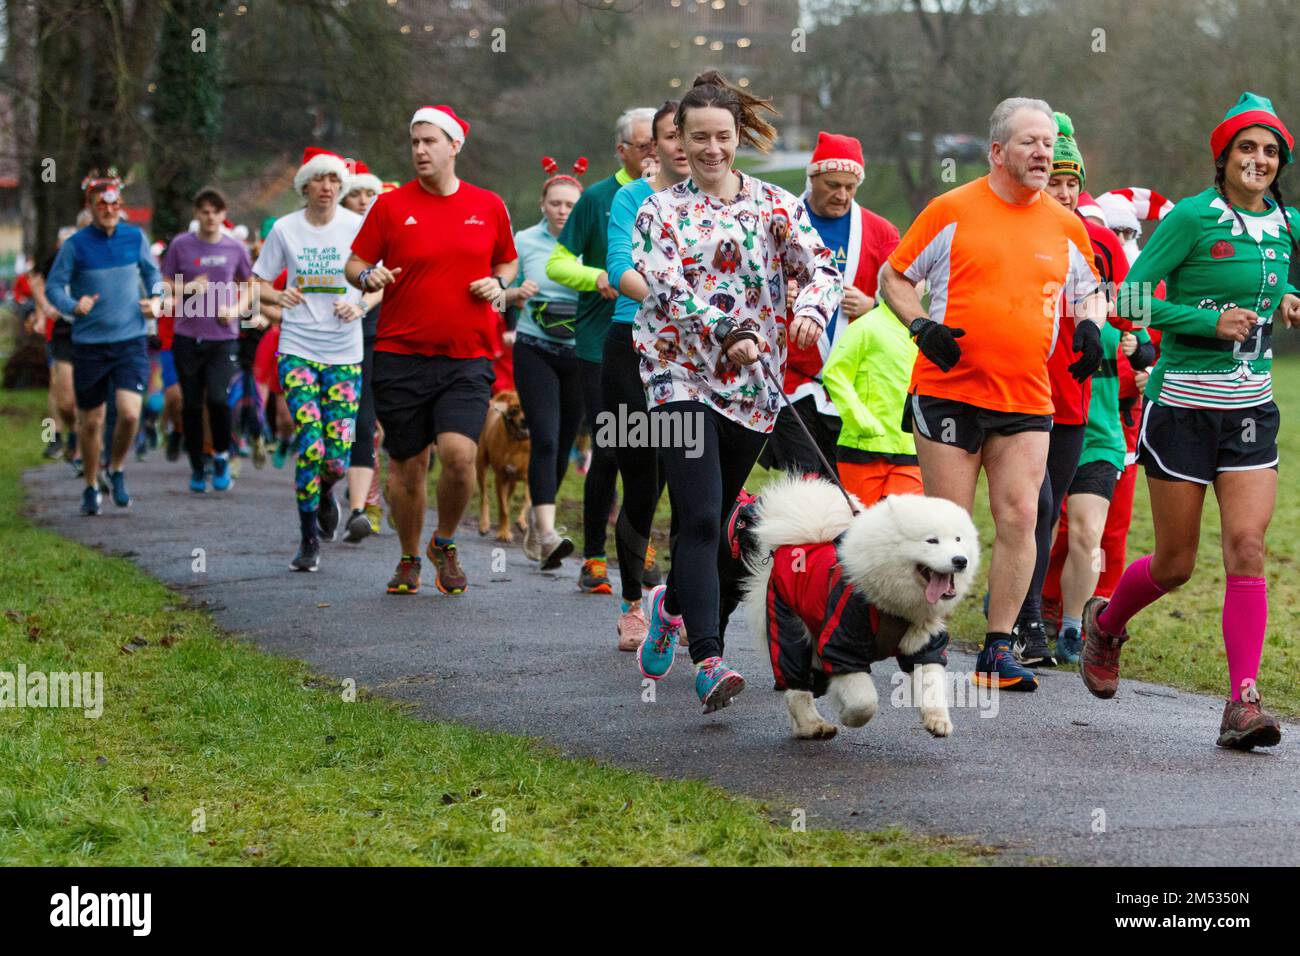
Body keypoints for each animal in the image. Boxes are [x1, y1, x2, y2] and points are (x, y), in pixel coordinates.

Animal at [475, 390, 530, 538]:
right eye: (516, 408)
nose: (525, 420)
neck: (519, 442)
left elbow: (527, 501)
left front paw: (521, 521)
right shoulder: (500, 478)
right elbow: (503, 508)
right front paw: (504, 533)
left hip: (512, 481)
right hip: (481, 465)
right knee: (485, 497)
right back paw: (484, 524)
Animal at [743, 476, 977, 738]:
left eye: (958, 539)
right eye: (931, 540)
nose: (961, 560)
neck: (890, 607)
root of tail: (793, 545)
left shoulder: (925, 643)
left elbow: (932, 684)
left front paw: (938, 720)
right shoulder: (843, 643)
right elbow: (864, 700)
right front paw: (848, 716)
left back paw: (803, 726)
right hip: (789, 628)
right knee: (797, 687)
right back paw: (811, 725)